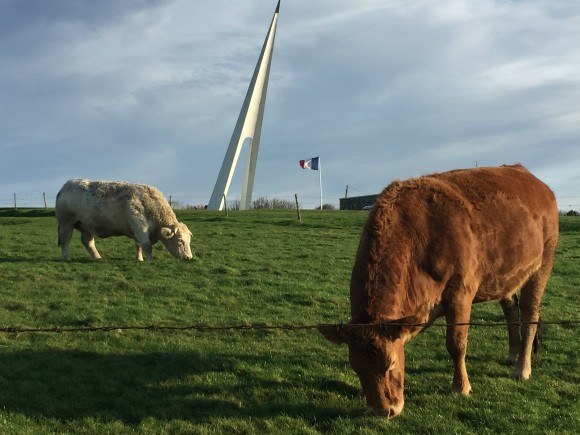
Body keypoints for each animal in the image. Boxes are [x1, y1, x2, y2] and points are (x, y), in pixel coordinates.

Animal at [55, 179, 194, 260]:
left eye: (189, 241)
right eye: (180, 241)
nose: (189, 257)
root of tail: (66, 186)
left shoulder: (137, 231)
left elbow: (138, 246)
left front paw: (139, 259)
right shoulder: (140, 228)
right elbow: (147, 246)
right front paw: (150, 261)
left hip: (87, 226)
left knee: (88, 242)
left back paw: (98, 258)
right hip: (66, 223)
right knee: (65, 241)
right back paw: (66, 258)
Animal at [320, 164, 560, 418]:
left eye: (391, 363)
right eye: (357, 369)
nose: (384, 410)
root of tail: (535, 182)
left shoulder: (460, 294)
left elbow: (456, 344)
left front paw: (461, 387)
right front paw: (361, 394)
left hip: (542, 265)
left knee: (530, 316)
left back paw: (522, 368)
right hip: (506, 275)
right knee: (511, 310)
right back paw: (512, 354)